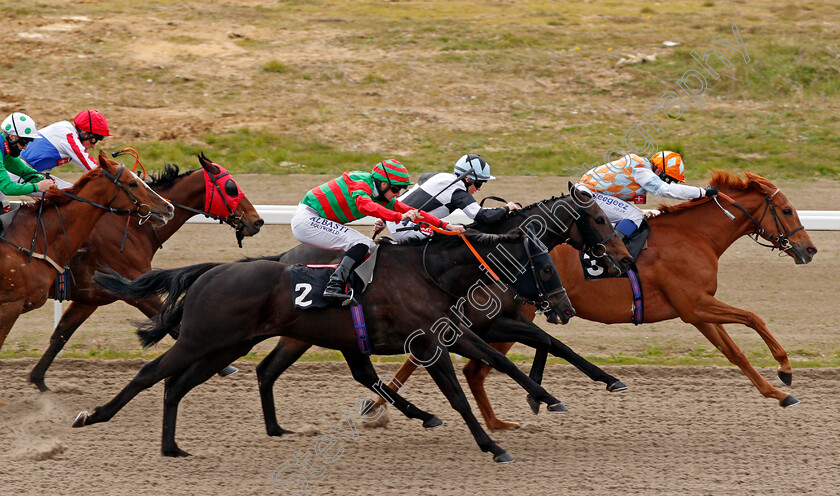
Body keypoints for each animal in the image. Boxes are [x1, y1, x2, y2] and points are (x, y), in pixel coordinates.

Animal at [27, 151, 262, 392]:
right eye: (231, 187)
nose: (257, 220)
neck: (133, 228)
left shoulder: (90, 298)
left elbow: (61, 334)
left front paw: (39, 380)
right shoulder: (136, 291)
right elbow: (173, 326)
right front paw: (220, 364)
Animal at [75, 227, 576, 464]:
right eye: (544, 267)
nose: (564, 307)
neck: (427, 270)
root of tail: (213, 270)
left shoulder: (452, 332)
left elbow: (497, 361)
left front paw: (546, 398)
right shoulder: (429, 341)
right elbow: (457, 396)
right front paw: (493, 446)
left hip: (225, 347)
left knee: (176, 385)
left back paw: (173, 447)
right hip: (203, 339)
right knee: (150, 374)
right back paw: (92, 416)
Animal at [462, 170, 816, 426]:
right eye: (787, 210)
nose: (809, 249)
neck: (694, 236)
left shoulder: (697, 311)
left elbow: (735, 353)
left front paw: (777, 393)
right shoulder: (695, 304)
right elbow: (754, 317)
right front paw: (785, 368)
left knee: (480, 368)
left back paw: (505, 418)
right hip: (513, 317)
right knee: (475, 370)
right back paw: (500, 423)